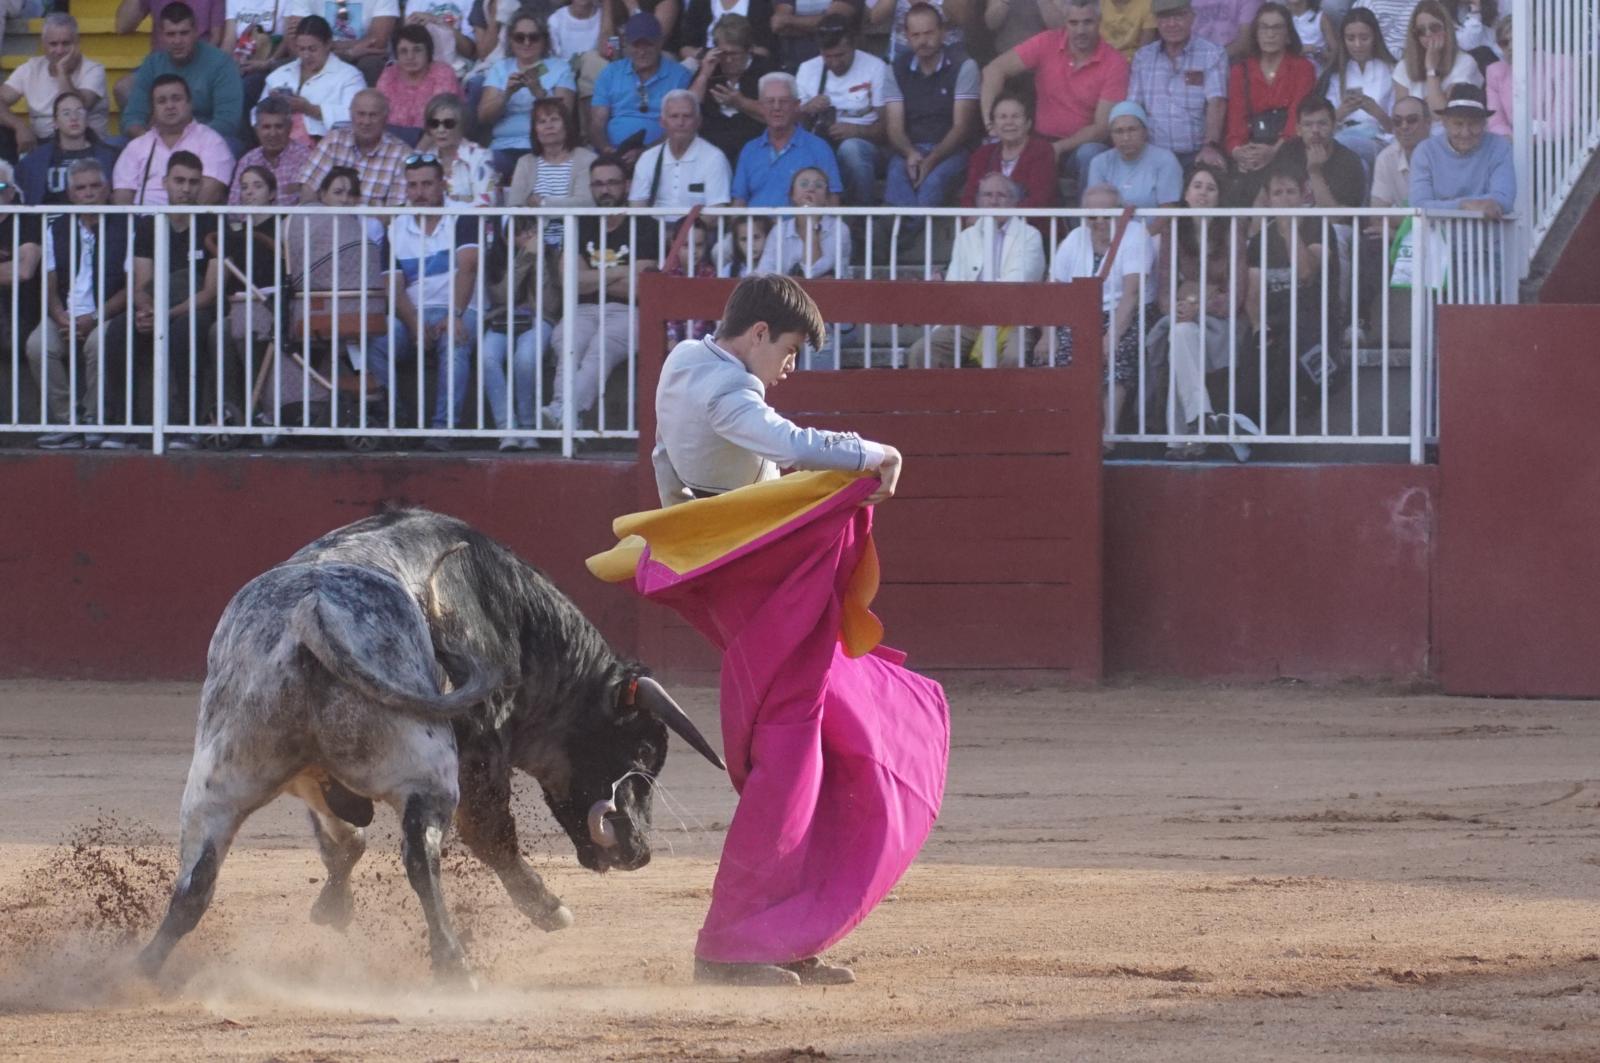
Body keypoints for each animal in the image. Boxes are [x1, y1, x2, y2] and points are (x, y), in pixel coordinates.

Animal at [137, 512, 726, 986]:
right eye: (643, 751)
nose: (639, 852)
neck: (509, 615)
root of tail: (311, 614)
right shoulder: (481, 752)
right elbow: (487, 834)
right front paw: (549, 909)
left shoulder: (310, 780)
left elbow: (343, 842)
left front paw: (333, 908)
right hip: (429, 774)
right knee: (425, 853)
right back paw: (455, 962)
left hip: (219, 779)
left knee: (195, 882)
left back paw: (143, 967)